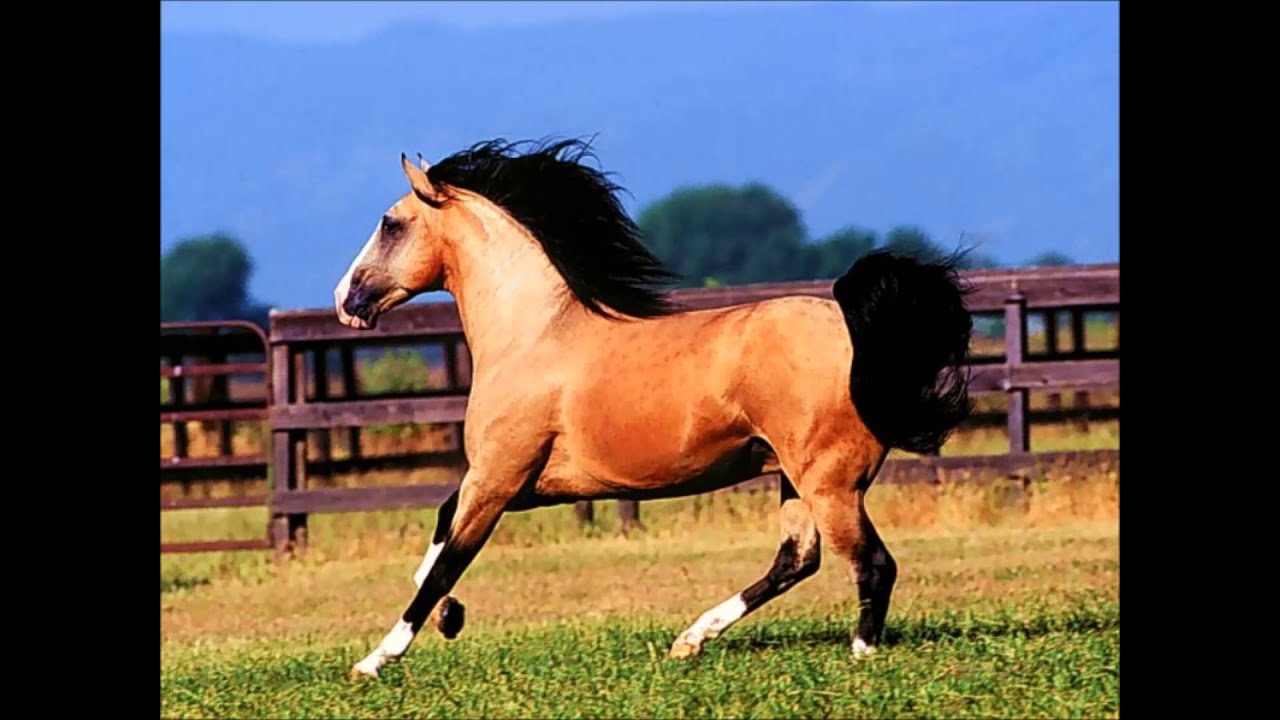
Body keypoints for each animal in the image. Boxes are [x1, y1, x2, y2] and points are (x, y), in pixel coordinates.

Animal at [333, 138, 973, 679]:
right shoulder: (526, 483)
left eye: (390, 224)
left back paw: (860, 654)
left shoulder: (497, 477)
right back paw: (691, 639)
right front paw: (450, 616)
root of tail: (853, 326)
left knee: (871, 563)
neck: (533, 336)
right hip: (796, 478)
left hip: (828, 482)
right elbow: (441, 534)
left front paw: (375, 661)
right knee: (798, 558)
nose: (345, 300)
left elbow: (450, 558)